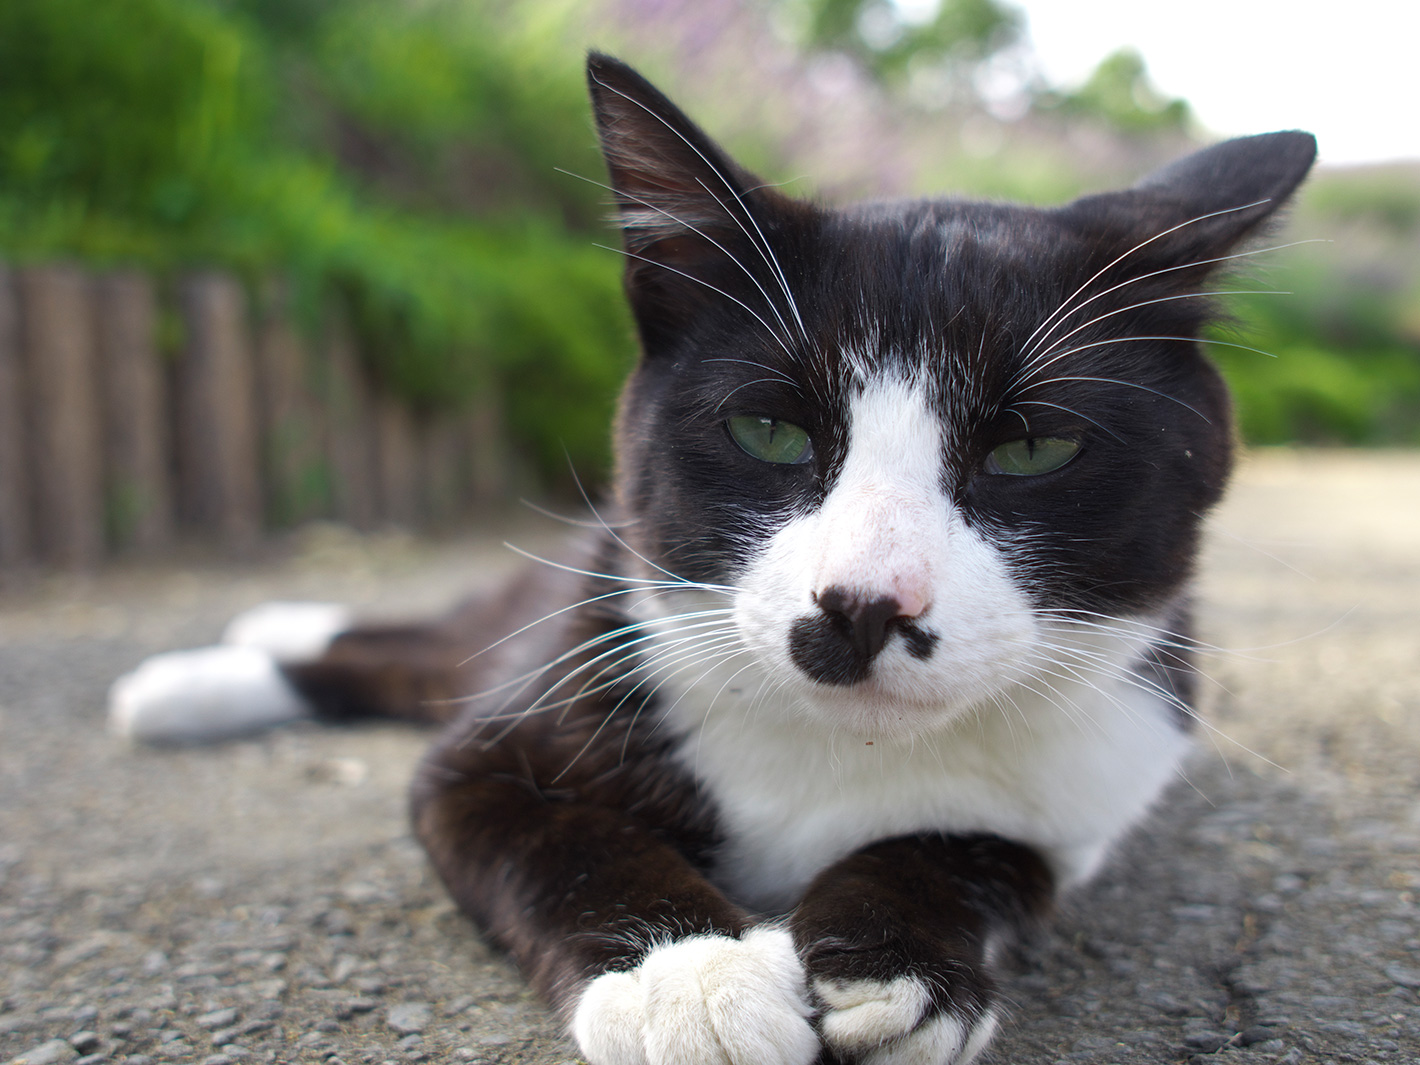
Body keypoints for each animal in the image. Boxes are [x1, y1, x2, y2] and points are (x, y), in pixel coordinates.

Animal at [105, 54, 1312, 1065]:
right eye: (769, 432)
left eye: (1032, 449)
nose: (864, 604)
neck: (831, 756)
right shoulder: (506, 734)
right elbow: (550, 829)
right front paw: (687, 979)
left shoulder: (1099, 784)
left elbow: (985, 848)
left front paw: (896, 960)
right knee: (409, 651)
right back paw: (200, 674)